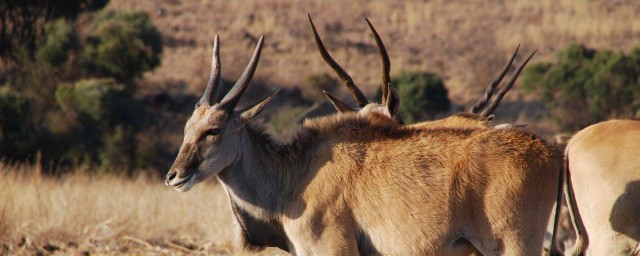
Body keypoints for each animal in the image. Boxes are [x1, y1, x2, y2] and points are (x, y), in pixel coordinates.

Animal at [166, 33, 564, 255]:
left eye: (213, 130)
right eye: (187, 128)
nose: (174, 176)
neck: (296, 174)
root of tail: (549, 151)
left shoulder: (335, 250)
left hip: (515, 246)